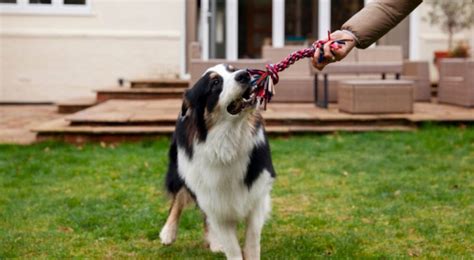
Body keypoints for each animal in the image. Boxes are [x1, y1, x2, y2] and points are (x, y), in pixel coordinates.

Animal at [160, 63, 276, 260]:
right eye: (215, 83)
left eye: (233, 69)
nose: (244, 74)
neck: (227, 142)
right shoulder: (210, 196)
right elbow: (232, 247)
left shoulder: (257, 193)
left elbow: (252, 239)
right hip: (181, 169)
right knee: (178, 198)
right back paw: (168, 232)